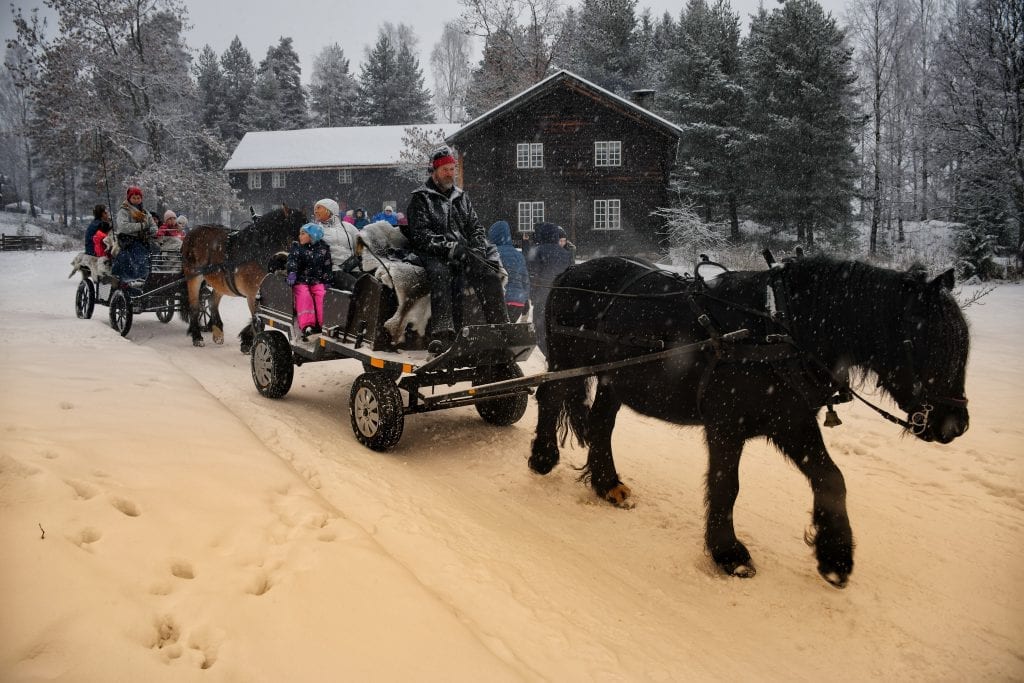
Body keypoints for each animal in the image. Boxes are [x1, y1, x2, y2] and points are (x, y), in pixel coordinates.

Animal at [178, 205, 305, 350]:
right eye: (295, 231)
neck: (257, 252)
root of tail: (192, 232)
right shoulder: (253, 295)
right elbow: (258, 321)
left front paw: (246, 340)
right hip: (193, 276)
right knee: (194, 305)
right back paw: (197, 337)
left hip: (220, 281)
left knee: (212, 301)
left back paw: (217, 332)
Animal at [532, 255, 970, 589]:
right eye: (930, 345)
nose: (957, 424)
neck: (777, 329)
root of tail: (570, 272)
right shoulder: (727, 424)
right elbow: (727, 486)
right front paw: (728, 552)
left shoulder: (790, 419)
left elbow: (831, 479)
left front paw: (835, 557)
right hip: (568, 364)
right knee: (548, 398)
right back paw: (543, 457)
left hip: (613, 380)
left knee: (601, 424)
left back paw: (607, 483)